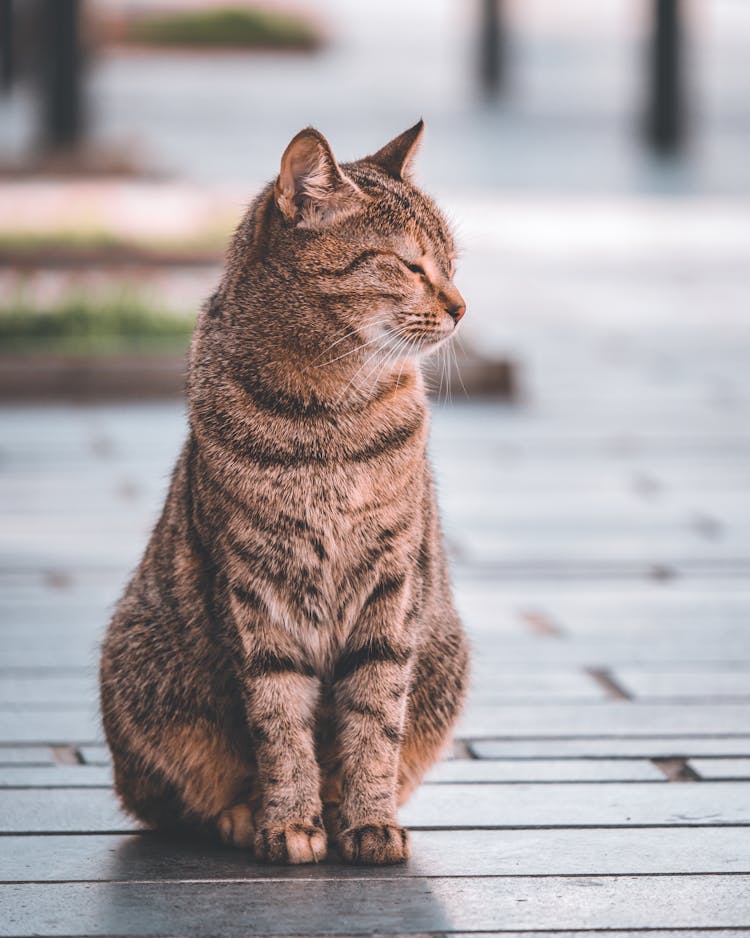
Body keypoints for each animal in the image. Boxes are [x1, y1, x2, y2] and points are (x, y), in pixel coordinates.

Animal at [100, 120, 470, 868]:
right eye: (409, 265)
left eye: (451, 262)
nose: (460, 305)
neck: (327, 414)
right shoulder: (254, 589)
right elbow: (279, 720)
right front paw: (291, 820)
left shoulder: (391, 585)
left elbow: (374, 719)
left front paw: (366, 819)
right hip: (141, 664)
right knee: (177, 800)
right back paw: (242, 814)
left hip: (445, 655)